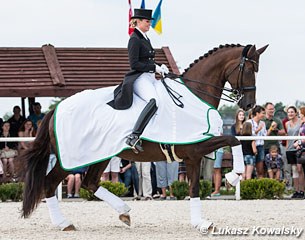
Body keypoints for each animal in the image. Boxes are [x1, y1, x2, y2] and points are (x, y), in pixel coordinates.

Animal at [19, 44, 266, 232]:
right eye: (248, 70)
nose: (249, 105)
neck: (194, 96)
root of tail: (56, 109)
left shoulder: (194, 155)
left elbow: (196, 186)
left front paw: (201, 221)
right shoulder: (195, 149)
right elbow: (233, 141)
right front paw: (233, 177)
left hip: (101, 154)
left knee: (90, 182)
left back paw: (124, 212)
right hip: (71, 159)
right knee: (50, 183)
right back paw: (64, 223)